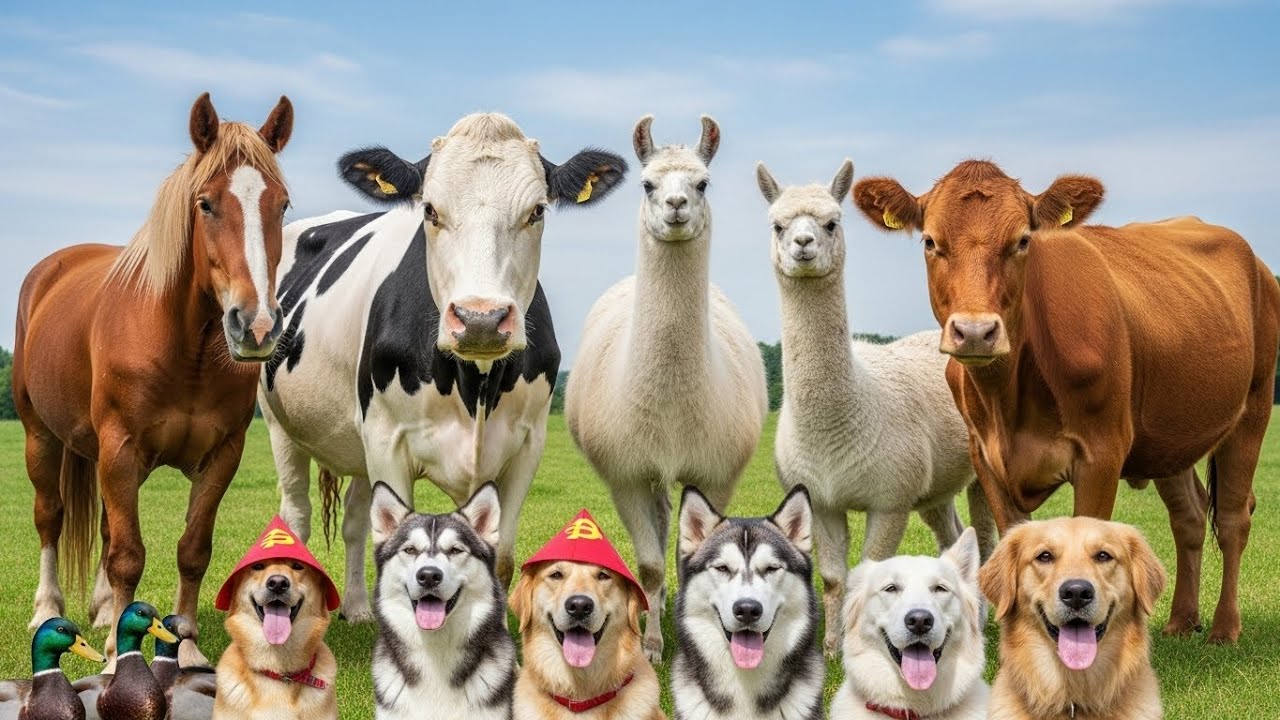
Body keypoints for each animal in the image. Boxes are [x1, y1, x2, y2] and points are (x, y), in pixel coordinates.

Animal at [13, 92, 294, 669]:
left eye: (281, 205)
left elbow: (192, 550)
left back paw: (102, 611)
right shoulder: (121, 449)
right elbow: (128, 555)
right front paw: (118, 659)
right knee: (50, 518)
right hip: (40, 437)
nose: (256, 324)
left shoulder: (222, 454)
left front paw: (184, 648)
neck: (184, 347)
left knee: (102, 525)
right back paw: (46, 607)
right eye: (205, 204)